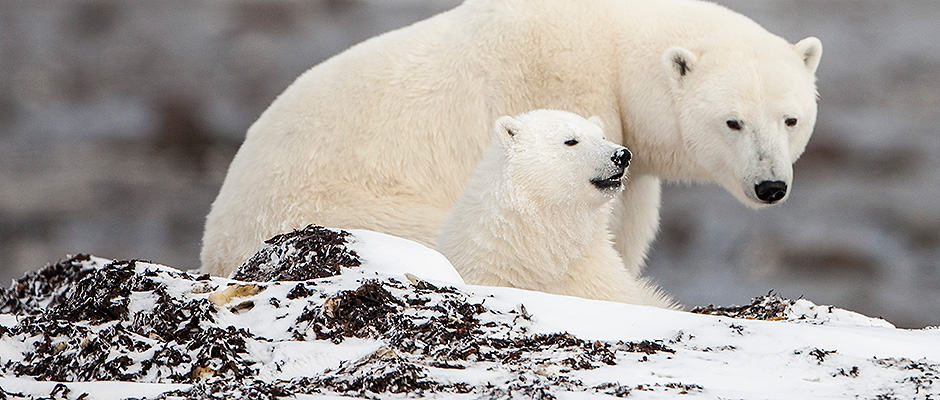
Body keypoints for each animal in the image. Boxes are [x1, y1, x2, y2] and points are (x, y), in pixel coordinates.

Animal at [200, 0, 824, 278]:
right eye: (732, 121)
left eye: (790, 119)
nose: (770, 186)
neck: (612, 42)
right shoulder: (566, 87)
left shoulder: (631, 158)